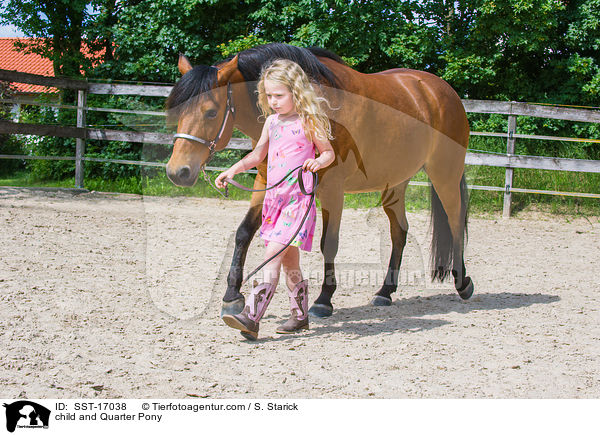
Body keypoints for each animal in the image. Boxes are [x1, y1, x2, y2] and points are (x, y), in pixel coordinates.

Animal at [165, 42, 474, 318]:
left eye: (211, 112)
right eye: (178, 111)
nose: (177, 172)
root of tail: (441, 91)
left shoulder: (332, 189)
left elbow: (329, 243)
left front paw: (324, 300)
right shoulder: (266, 179)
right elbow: (244, 232)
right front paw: (231, 296)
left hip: (445, 174)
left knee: (455, 221)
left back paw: (463, 283)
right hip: (395, 183)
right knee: (400, 231)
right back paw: (385, 292)